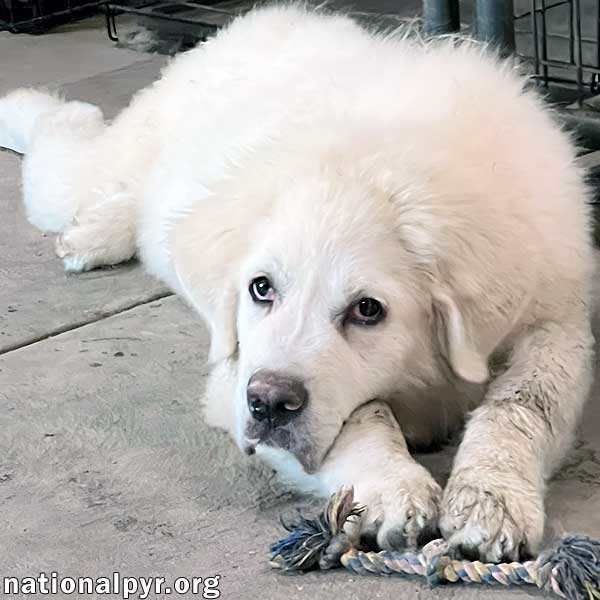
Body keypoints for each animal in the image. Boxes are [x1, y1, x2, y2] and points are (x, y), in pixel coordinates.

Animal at [0, 5, 592, 564]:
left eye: (368, 310)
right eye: (261, 289)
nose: (267, 404)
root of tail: (247, 23)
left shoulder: (559, 317)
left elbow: (524, 402)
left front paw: (491, 498)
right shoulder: (232, 374)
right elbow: (362, 415)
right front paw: (388, 488)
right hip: (87, 174)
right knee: (67, 142)